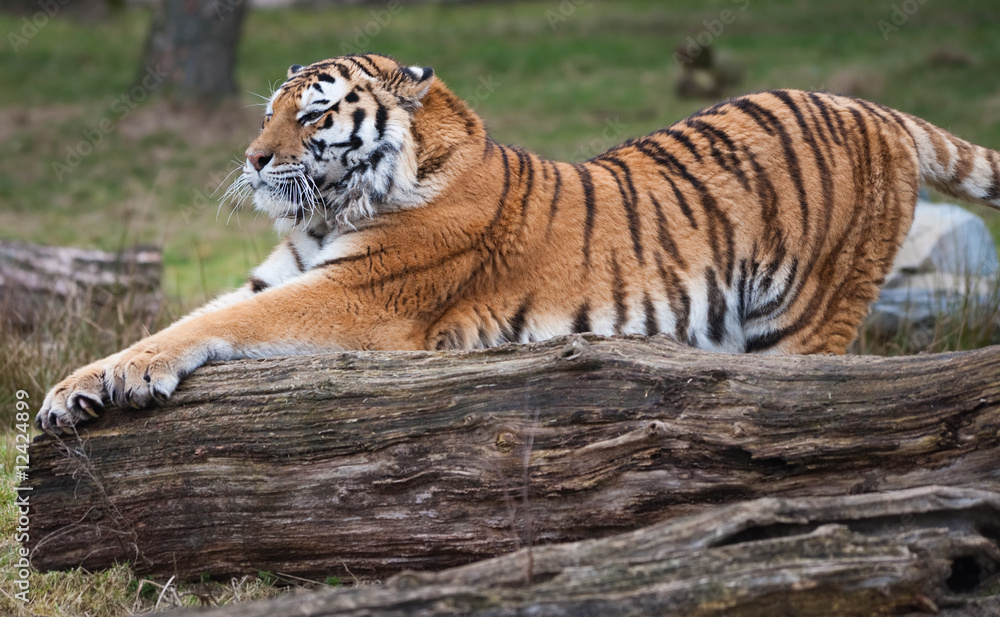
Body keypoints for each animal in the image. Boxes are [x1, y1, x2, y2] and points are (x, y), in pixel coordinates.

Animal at [36, 53, 1000, 431]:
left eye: (309, 113)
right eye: (269, 107)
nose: (252, 158)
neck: (331, 209)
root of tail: (875, 109)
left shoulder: (361, 296)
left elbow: (203, 326)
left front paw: (120, 378)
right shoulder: (283, 275)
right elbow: (187, 317)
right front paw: (76, 386)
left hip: (806, 315)